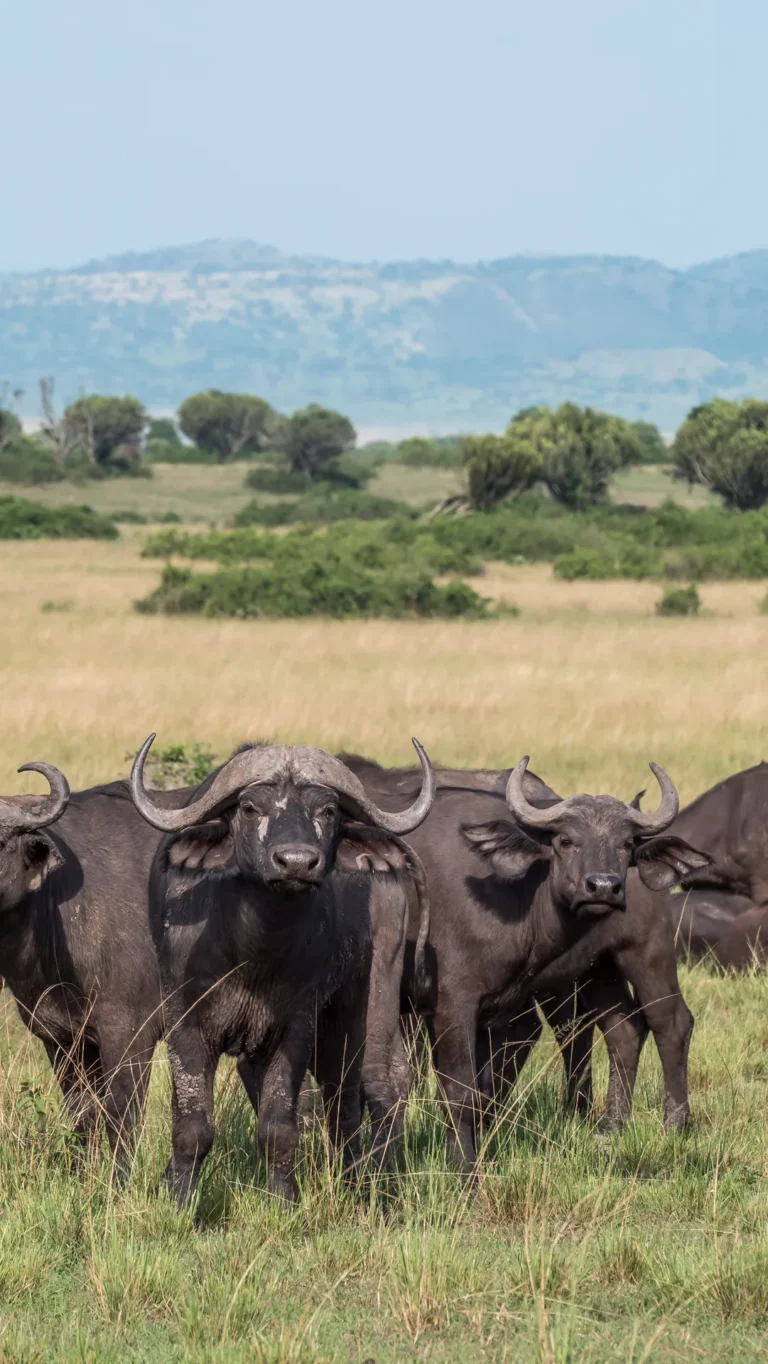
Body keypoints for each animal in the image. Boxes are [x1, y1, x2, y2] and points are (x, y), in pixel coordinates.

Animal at [130, 735, 435, 1204]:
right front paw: (178, 1196)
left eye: (327, 811)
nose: (295, 862)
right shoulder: (185, 1024)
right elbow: (192, 1125)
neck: (253, 954)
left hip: (371, 998)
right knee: (341, 1092)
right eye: (250, 807)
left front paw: (283, 1199)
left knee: (378, 1082)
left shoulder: (295, 1027)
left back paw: (378, 1186)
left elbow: (278, 1126)